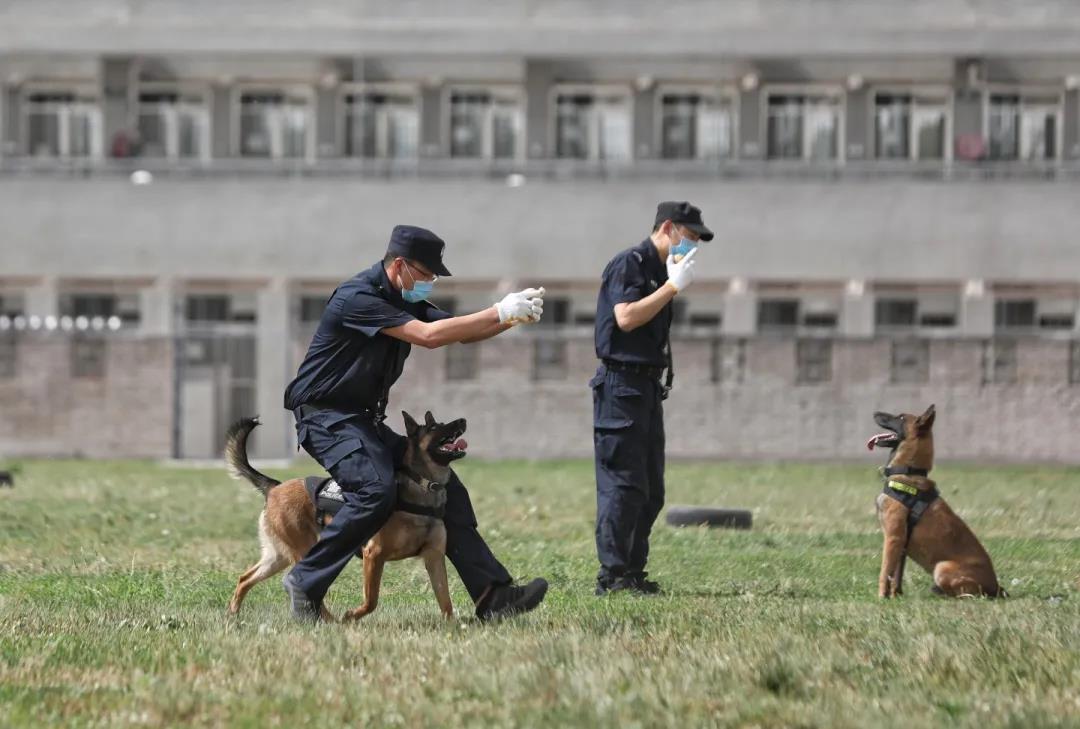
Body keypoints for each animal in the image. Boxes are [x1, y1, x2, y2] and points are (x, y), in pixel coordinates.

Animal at [225, 410, 466, 622]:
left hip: (278, 556)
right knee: (302, 583)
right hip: (305, 553)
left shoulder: (434, 557)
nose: (463, 420)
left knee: (245, 578)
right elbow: (371, 600)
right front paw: (351, 616)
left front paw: (453, 628)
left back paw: (233, 614)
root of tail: (274, 487)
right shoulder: (374, 555)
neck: (422, 485)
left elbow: (445, 602)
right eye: (434, 428)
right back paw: (328, 620)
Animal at [859, 403, 1002, 600]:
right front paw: (895, 595)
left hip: (942, 567)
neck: (909, 472)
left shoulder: (893, 539)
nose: (874, 412)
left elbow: (885, 571)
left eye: (901, 417)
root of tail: (996, 587)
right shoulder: (900, 545)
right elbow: (895, 574)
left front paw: (881, 597)